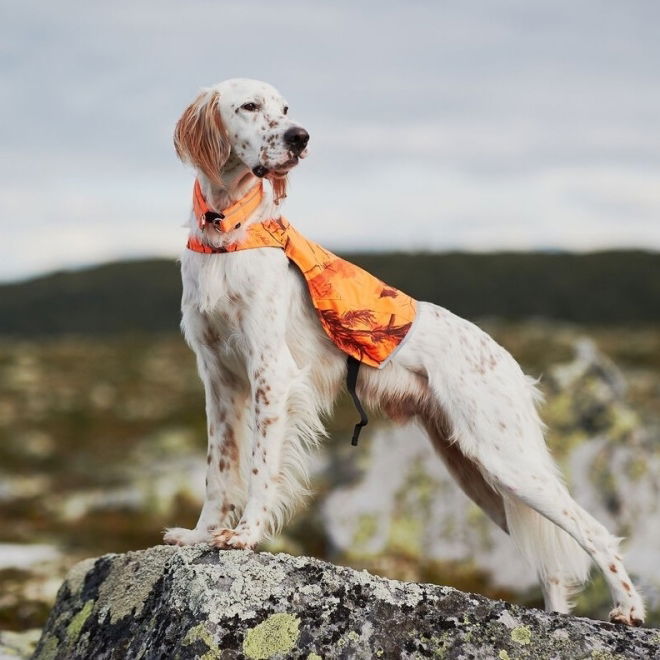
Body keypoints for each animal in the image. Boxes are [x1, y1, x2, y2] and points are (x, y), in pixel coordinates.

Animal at [164, 77, 644, 624]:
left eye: (285, 109)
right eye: (249, 106)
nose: (300, 137)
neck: (227, 233)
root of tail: (506, 362)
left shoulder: (272, 372)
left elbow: (260, 470)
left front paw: (244, 536)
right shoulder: (220, 380)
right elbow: (219, 472)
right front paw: (200, 535)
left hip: (506, 459)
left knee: (595, 531)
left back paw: (628, 608)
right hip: (477, 473)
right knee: (552, 564)